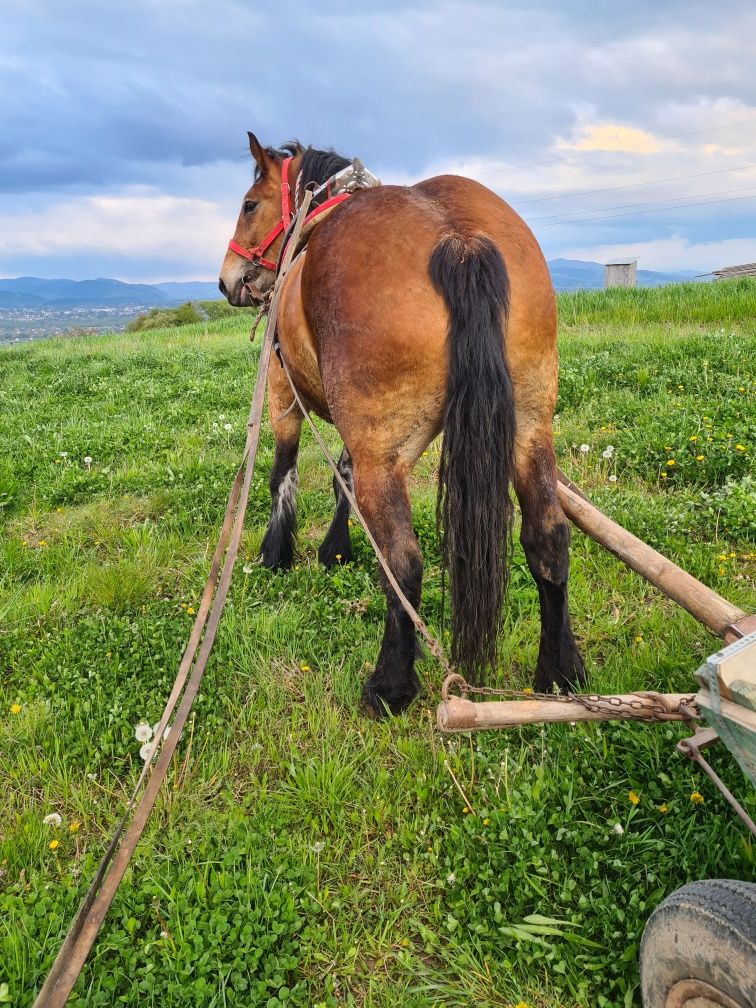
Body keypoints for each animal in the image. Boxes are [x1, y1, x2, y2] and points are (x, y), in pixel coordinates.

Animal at [218, 132, 584, 717]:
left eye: (249, 205)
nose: (227, 278)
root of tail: (458, 240)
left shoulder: (283, 393)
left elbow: (283, 474)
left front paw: (278, 552)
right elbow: (340, 476)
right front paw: (336, 548)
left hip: (383, 455)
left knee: (403, 563)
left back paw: (390, 685)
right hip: (528, 430)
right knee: (548, 537)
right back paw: (559, 672)